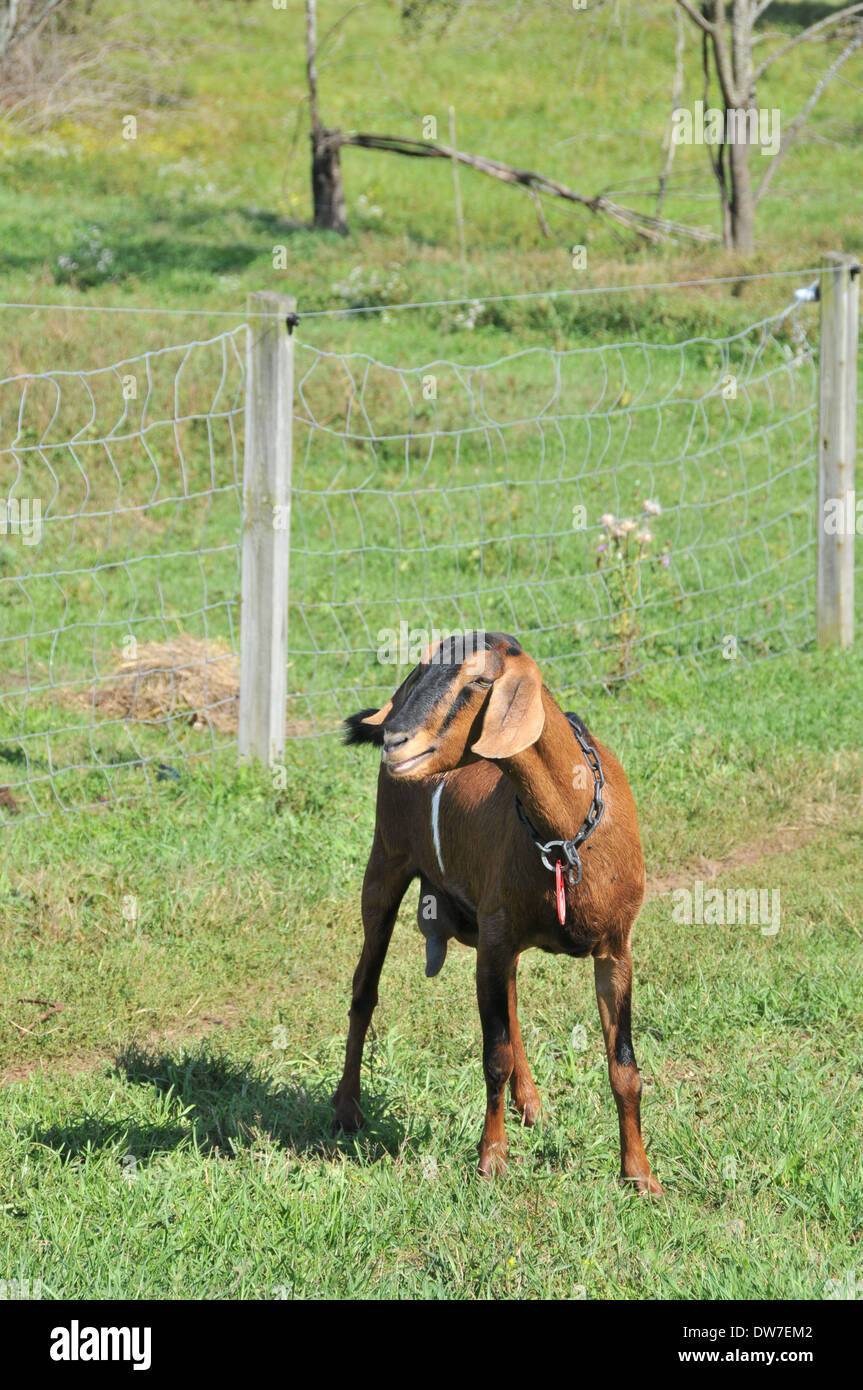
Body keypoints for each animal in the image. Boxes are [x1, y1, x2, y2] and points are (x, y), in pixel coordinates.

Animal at [334, 631, 661, 1194]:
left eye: (482, 680)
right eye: (421, 668)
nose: (394, 740)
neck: (565, 835)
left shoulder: (615, 950)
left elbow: (624, 1068)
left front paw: (640, 1177)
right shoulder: (494, 941)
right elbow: (494, 1057)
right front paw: (491, 1161)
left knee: (508, 1002)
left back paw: (530, 1106)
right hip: (386, 865)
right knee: (364, 990)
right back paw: (347, 1108)